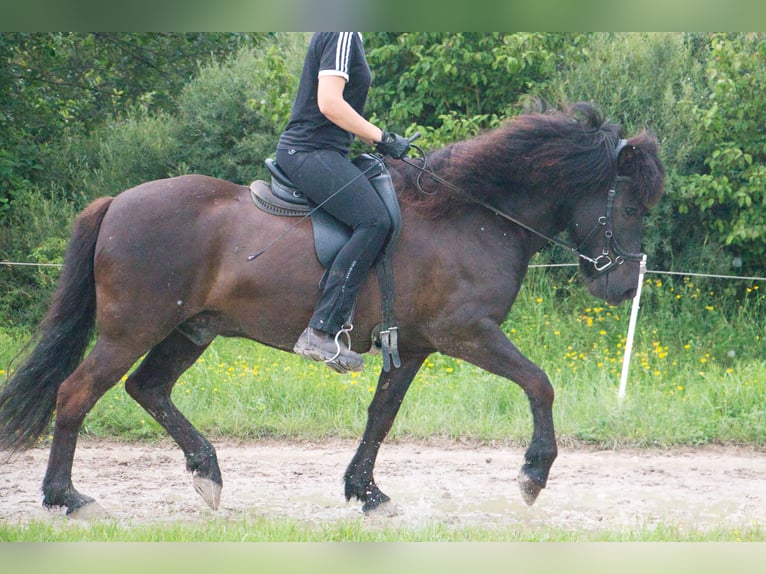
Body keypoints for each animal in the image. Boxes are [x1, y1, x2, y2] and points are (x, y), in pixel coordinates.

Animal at [0, 101, 664, 520]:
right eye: (631, 207)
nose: (623, 285)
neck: (471, 213)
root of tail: (116, 203)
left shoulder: (414, 345)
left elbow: (381, 416)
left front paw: (365, 493)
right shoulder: (465, 332)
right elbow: (540, 383)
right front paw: (533, 476)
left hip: (190, 330)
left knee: (149, 389)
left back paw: (207, 474)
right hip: (132, 329)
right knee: (76, 393)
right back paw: (65, 497)